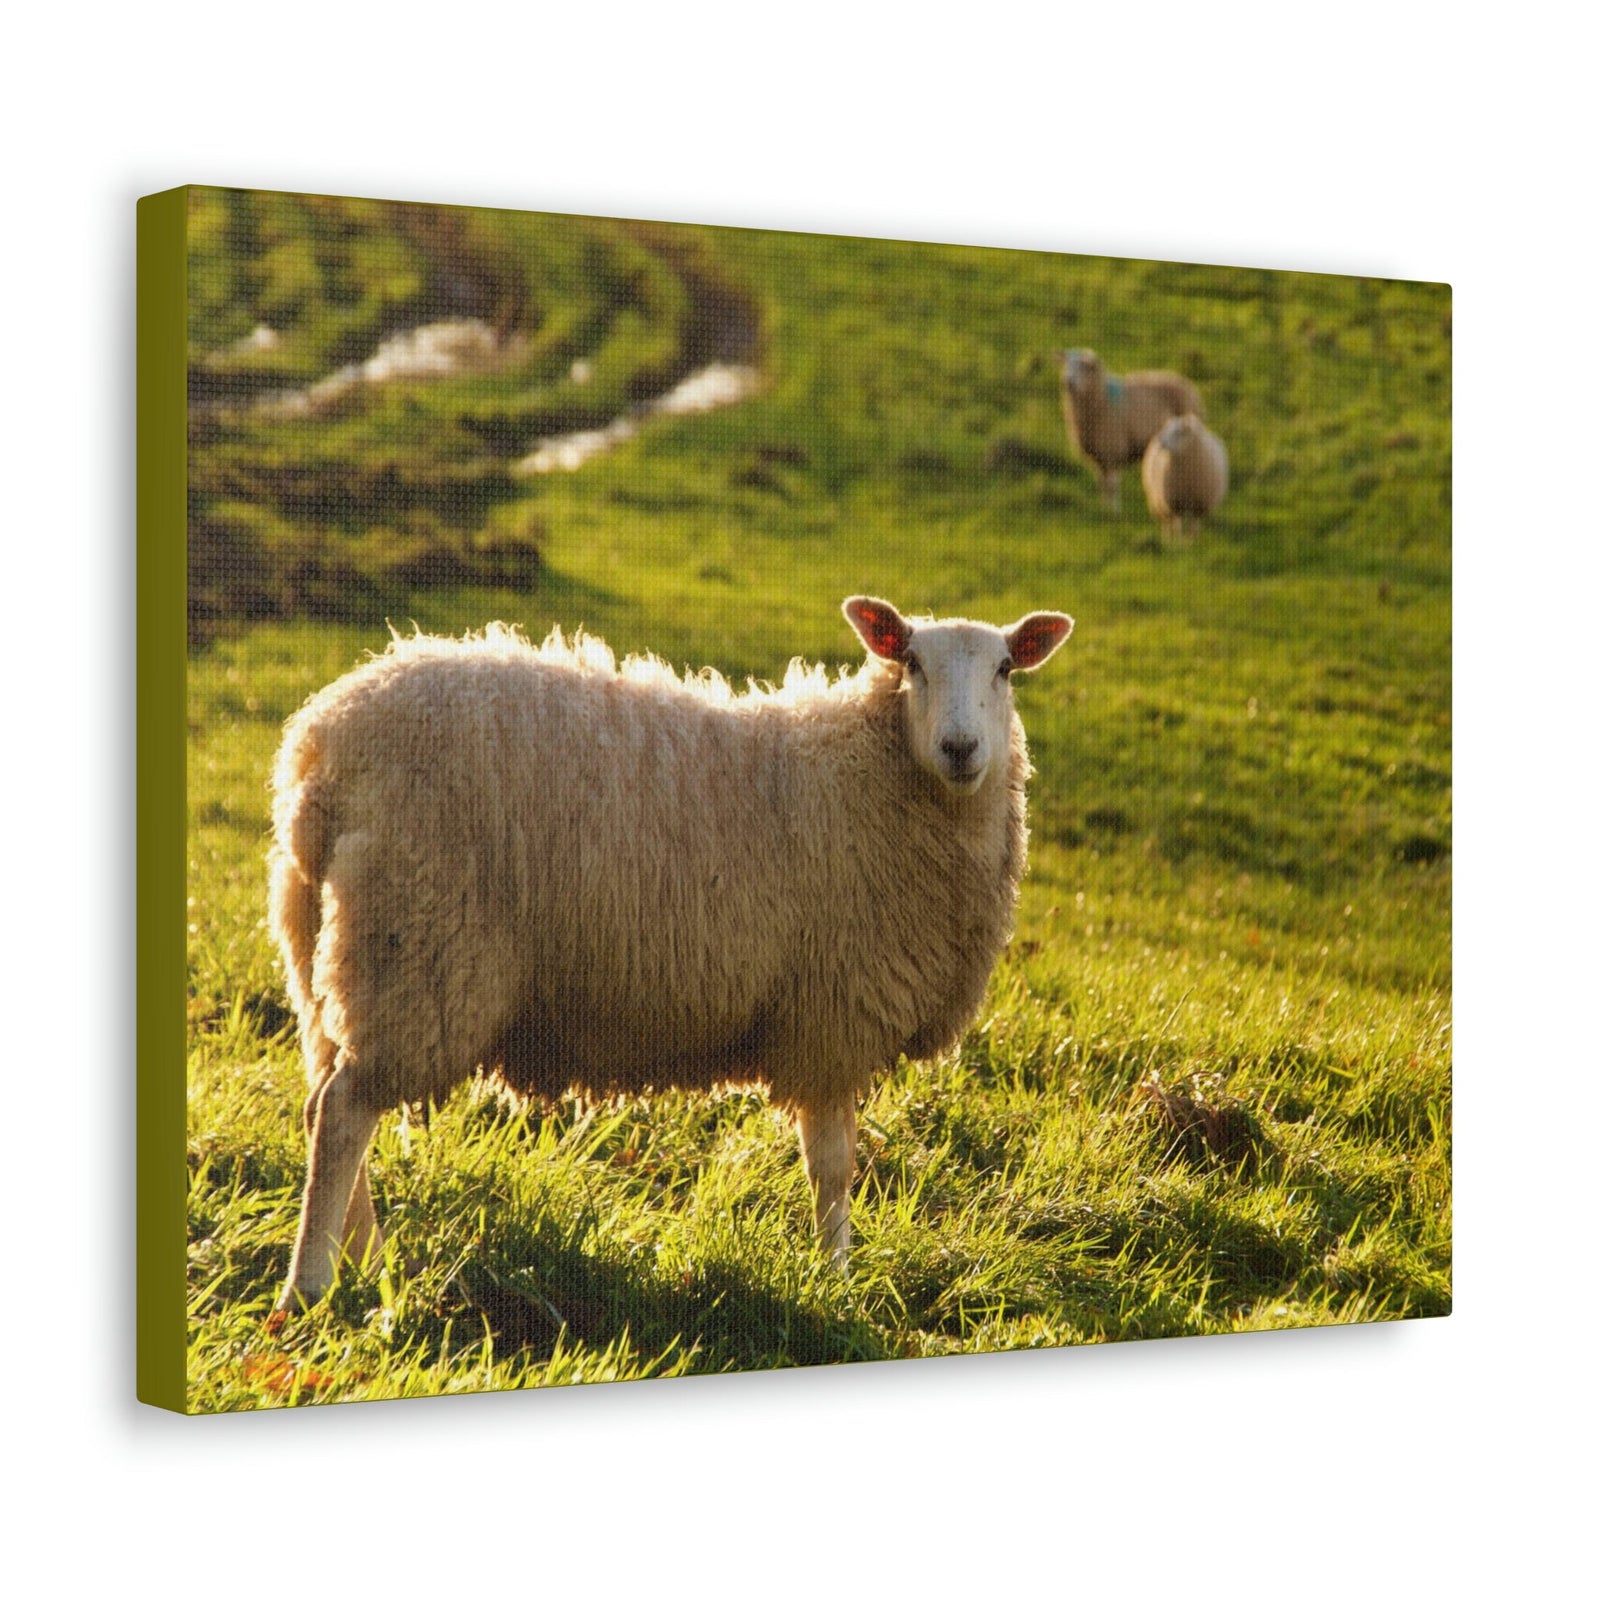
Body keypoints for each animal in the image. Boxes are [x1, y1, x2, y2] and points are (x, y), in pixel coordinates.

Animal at [268, 596, 1074, 1309]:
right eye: (910, 662)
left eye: (1006, 668)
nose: (961, 748)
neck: (872, 770)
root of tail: (319, 748)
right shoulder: (832, 1015)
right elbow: (833, 1165)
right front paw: (837, 1282)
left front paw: (834, 1274)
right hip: (416, 946)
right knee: (344, 1112)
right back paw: (311, 1286)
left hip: (325, 953)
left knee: (320, 1100)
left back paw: (366, 1261)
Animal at [1057, 348, 1203, 508]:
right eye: (1066, 364)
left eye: (1084, 366)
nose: (1067, 382)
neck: (1102, 400)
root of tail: (1187, 385)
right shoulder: (1098, 456)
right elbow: (1103, 483)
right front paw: (1104, 507)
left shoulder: (1112, 451)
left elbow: (1112, 484)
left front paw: (1114, 509)